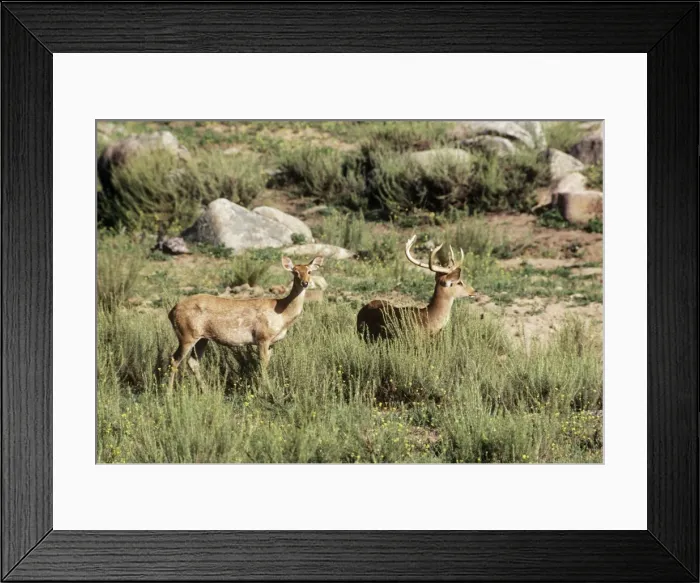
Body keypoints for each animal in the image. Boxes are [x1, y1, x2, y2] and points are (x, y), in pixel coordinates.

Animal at [167, 255, 324, 390]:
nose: (305, 283)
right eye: (295, 272)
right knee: (174, 359)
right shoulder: (262, 337)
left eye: (309, 271)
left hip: (202, 338)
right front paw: (266, 390)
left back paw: (206, 391)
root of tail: (171, 312)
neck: (282, 313)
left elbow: (266, 363)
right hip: (186, 334)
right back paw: (168, 394)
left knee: (193, 362)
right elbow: (262, 364)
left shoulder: (272, 342)